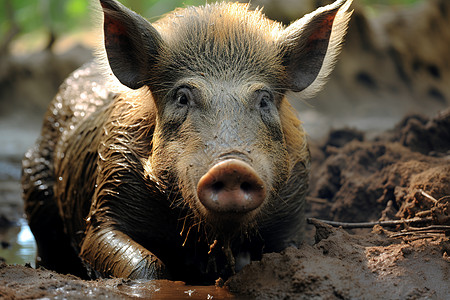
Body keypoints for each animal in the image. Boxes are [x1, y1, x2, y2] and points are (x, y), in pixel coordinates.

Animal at [22, 0, 352, 284]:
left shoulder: (294, 202)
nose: (232, 167)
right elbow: (137, 261)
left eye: (264, 100)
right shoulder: (109, 190)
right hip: (35, 182)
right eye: (182, 97)